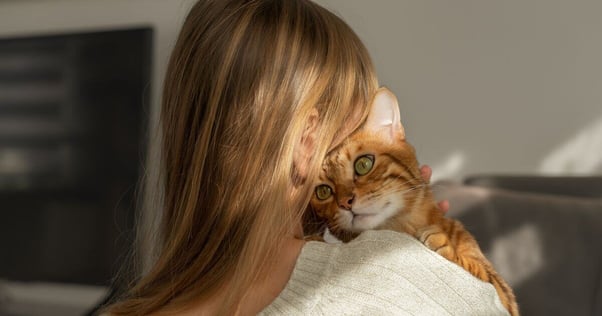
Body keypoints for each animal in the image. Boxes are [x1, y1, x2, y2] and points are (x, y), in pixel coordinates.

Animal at [310, 87, 516, 314]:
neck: (402, 226)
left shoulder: (504, 294)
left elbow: (478, 269)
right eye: (323, 191)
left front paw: (442, 242)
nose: (345, 202)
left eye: (363, 164)